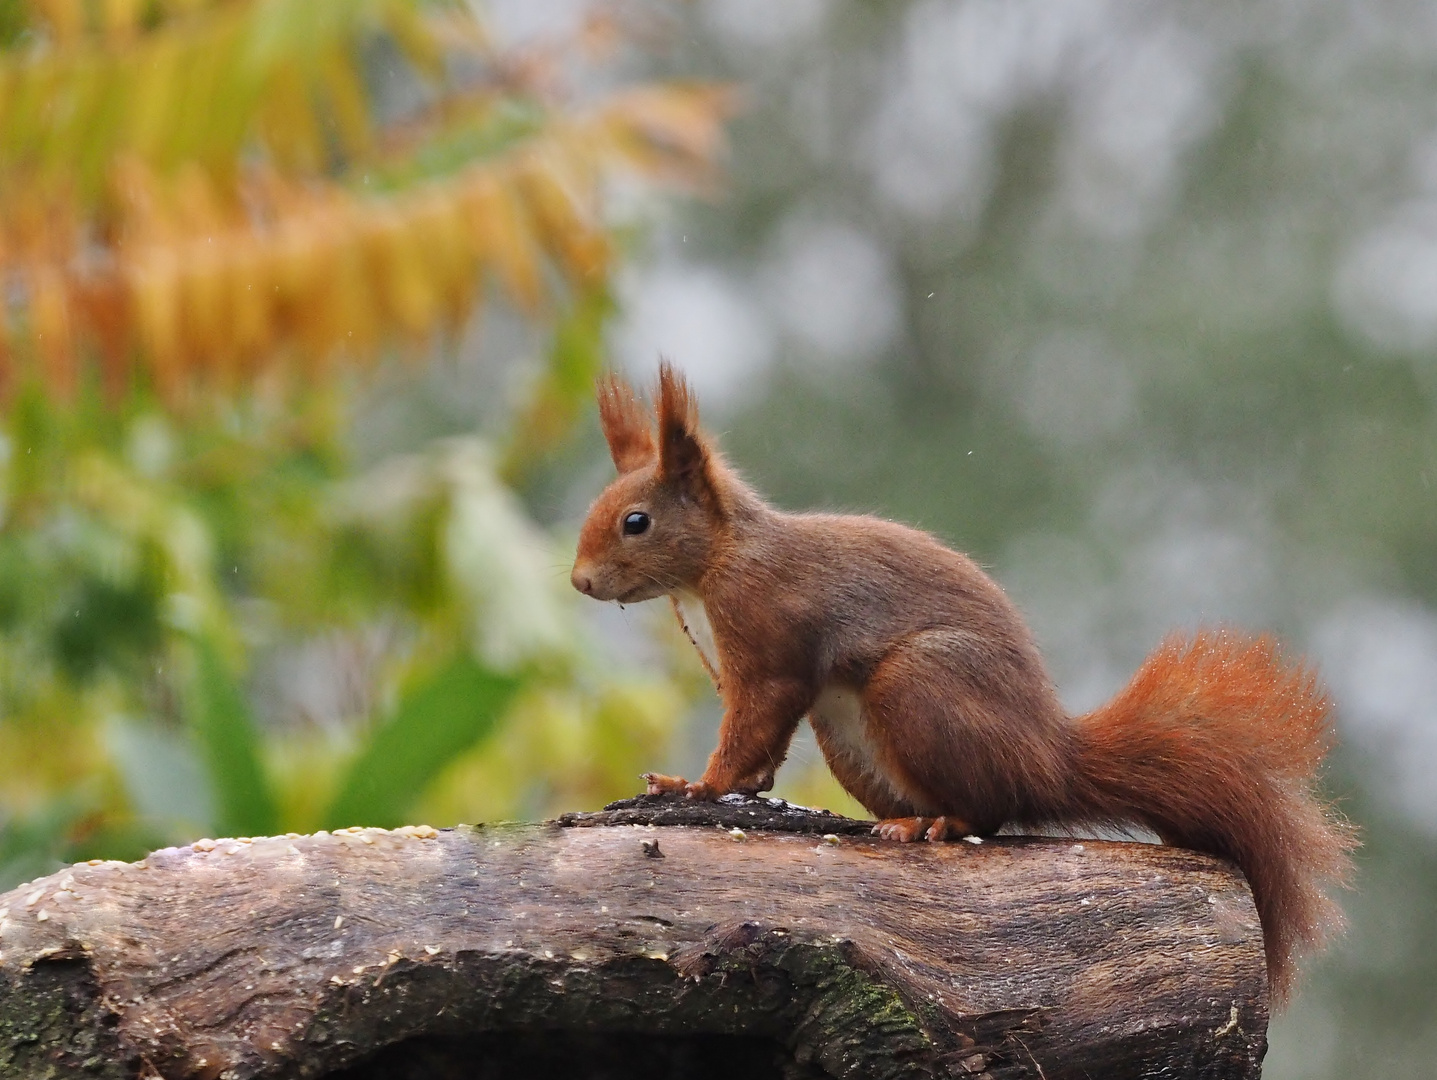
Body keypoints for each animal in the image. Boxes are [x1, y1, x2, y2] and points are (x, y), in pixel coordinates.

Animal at [566, 363, 1350, 1005]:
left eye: (636, 521)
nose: (579, 582)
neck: (724, 557)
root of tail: (1049, 759)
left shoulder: (771, 643)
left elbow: (755, 720)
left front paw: (697, 786)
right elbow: (763, 750)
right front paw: (727, 787)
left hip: (917, 688)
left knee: (990, 812)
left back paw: (935, 825)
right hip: (850, 735)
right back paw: (906, 821)